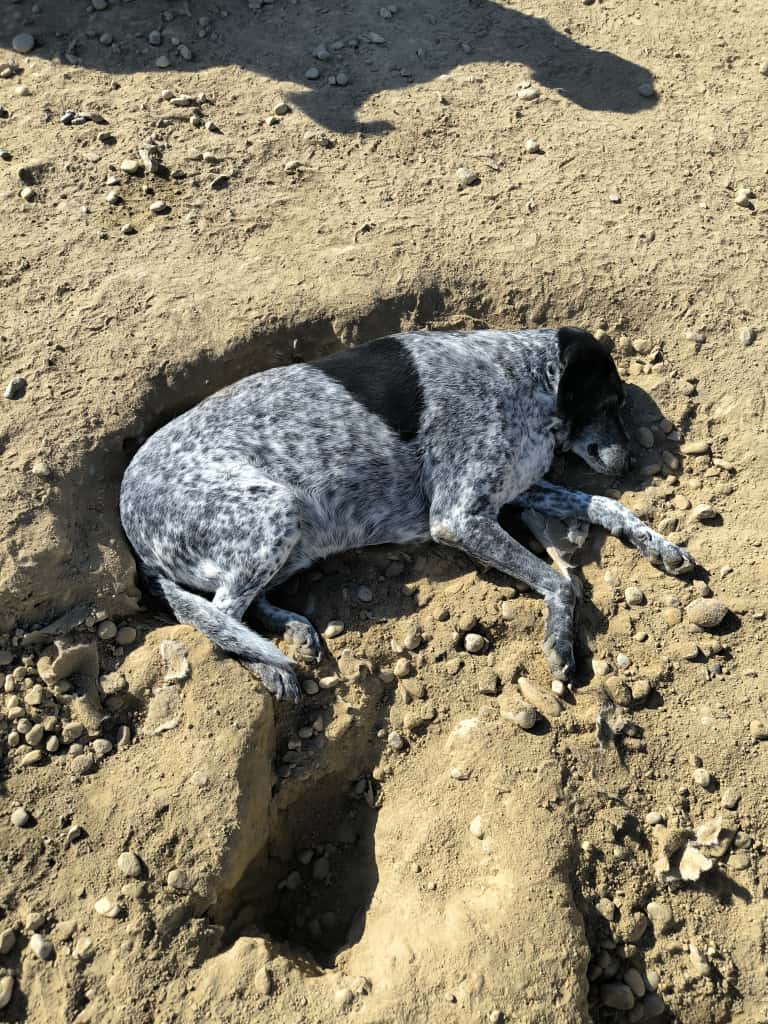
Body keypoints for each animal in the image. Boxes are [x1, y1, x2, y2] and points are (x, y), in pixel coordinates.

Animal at [120, 327, 694, 700]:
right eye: (610, 404)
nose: (633, 463)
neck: (522, 379)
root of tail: (129, 523)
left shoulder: (514, 493)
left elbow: (607, 506)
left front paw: (660, 546)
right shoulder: (460, 518)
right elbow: (562, 582)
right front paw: (560, 641)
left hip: (291, 537)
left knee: (236, 607)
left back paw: (293, 631)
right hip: (273, 511)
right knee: (215, 615)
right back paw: (269, 667)